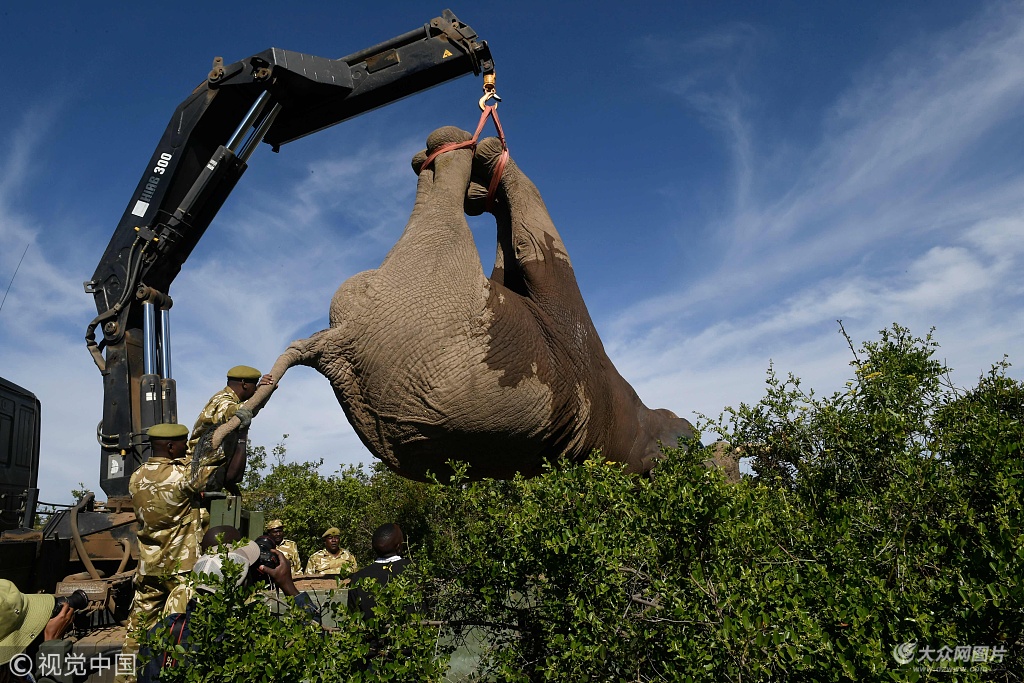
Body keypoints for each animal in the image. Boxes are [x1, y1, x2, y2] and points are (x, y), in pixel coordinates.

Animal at [229, 125, 700, 483]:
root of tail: (336, 342)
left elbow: (534, 241)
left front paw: (489, 162)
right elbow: (512, 258)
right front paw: (485, 188)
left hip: (430, 297)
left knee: (443, 207)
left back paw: (454, 148)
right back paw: (455, 158)